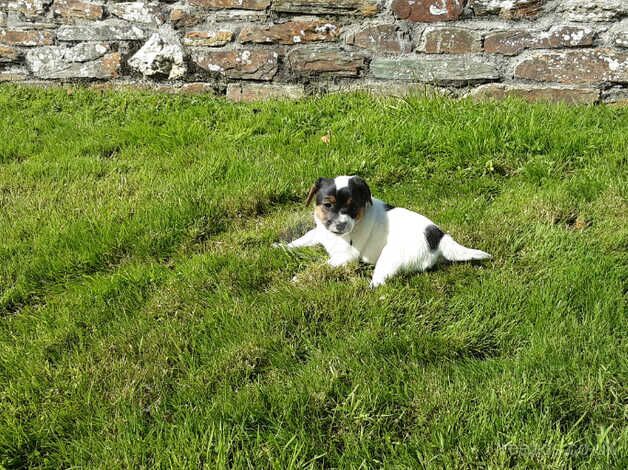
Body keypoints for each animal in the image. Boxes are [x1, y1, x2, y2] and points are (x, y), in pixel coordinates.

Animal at [280, 175, 490, 288]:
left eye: (353, 207)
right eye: (327, 205)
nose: (340, 226)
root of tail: (439, 237)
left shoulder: (345, 257)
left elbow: (319, 266)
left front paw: (298, 278)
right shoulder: (319, 232)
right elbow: (302, 239)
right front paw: (280, 247)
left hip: (389, 257)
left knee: (378, 283)